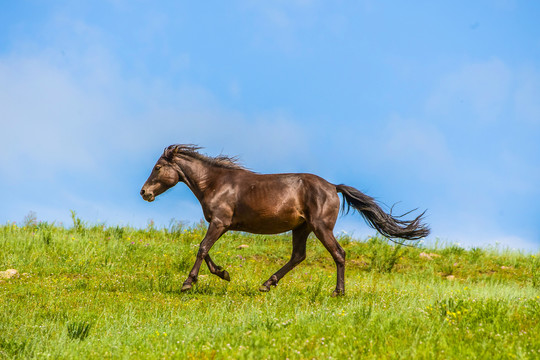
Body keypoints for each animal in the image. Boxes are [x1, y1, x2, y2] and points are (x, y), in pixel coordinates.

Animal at [140, 145, 430, 296]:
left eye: (157, 167)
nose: (144, 192)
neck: (216, 183)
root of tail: (333, 187)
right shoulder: (220, 224)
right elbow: (205, 249)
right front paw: (224, 274)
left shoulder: (220, 222)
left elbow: (201, 248)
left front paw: (188, 283)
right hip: (301, 228)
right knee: (298, 256)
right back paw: (267, 284)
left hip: (320, 227)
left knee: (338, 253)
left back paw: (338, 292)